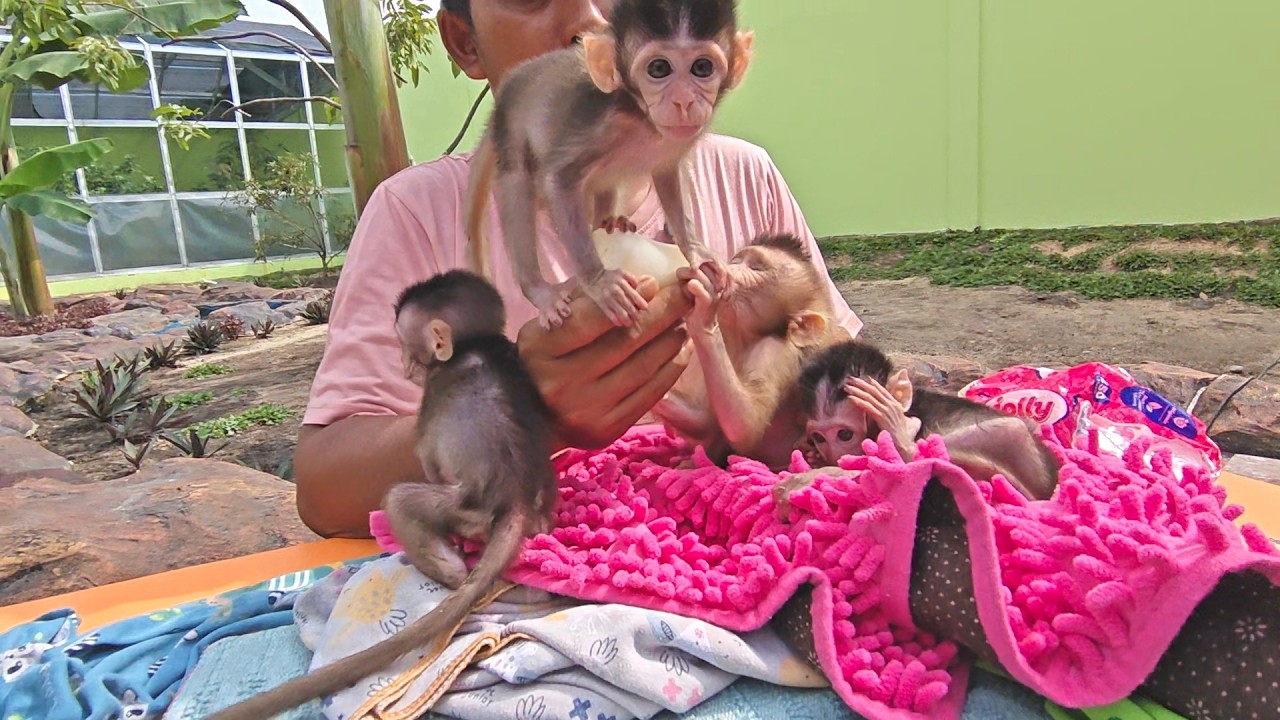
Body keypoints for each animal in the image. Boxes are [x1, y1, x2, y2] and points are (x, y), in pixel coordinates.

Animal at [205, 270, 559, 720]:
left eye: (406, 345)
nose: (405, 365)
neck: (475, 342)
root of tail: (515, 497)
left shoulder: (432, 395)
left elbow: (427, 450)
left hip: (463, 509)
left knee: (400, 501)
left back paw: (445, 567)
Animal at [463, 0, 755, 331]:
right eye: (659, 69)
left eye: (702, 68)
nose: (684, 101)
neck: (641, 117)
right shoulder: (602, 125)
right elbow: (558, 180)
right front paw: (600, 281)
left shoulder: (679, 140)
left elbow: (667, 174)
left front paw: (695, 250)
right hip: (510, 131)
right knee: (517, 181)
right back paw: (541, 291)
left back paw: (609, 222)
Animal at [650, 232, 851, 471]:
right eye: (737, 260)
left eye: (756, 267)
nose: (727, 266)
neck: (741, 337)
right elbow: (707, 423)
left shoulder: (772, 350)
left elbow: (745, 425)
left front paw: (704, 314)